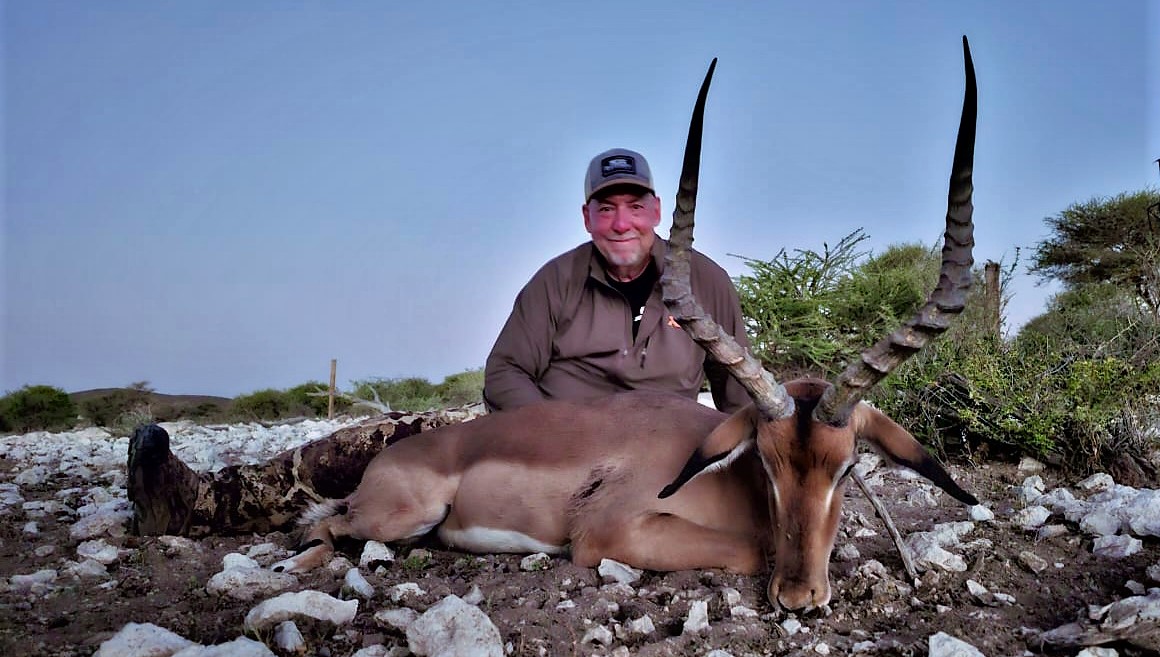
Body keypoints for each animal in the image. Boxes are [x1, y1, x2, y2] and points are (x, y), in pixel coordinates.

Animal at [276, 35, 983, 612]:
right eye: (768, 459)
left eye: (845, 466)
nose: (799, 596)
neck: (728, 483)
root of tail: (391, 458)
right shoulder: (610, 534)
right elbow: (751, 549)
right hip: (399, 515)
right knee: (323, 526)